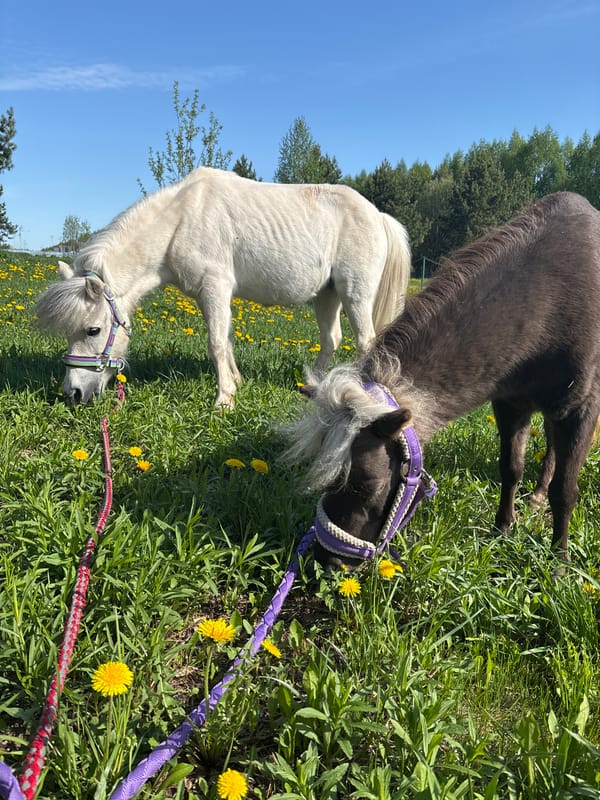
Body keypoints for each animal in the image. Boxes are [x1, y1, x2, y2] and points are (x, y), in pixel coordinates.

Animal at [36, 167, 411, 407]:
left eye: (93, 330)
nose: (72, 394)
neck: (180, 221)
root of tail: (378, 215)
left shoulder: (215, 288)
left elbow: (215, 343)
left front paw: (223, 400)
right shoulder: (211, 296)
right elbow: (226, 340)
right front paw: (236, 383)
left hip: (355, 293)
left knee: (365, 341)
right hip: (327, 294)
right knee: (331, 338)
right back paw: (314, 386)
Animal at [285, 192, 600, 571]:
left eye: (367, 486)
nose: (326, 560)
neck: (548, 294)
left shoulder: (579, 409)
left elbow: (565, 490)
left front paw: (559, 562)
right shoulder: (510, 404)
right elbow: (511, 468)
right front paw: (501, 531)